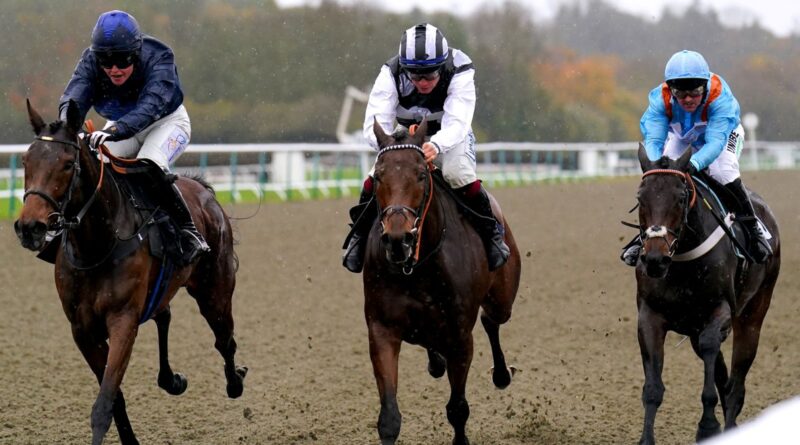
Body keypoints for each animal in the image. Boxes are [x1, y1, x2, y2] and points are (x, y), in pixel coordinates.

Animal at [14, 100, 245, 444]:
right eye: (26, 160)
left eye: (68, 164)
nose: (30, 227)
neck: (98, 245)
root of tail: (204, 191)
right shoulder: (82, 329)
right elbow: (114, 397)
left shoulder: (122, 319)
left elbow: (105, 401)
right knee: (165, 315)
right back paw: (171, 379)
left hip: (214, 290)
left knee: (224, 340)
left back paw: (235, 381)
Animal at [362, 118, 524, 444]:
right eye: (380, 175)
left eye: (421, 174)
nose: (398, 240)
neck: (416, 267)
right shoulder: (381, 328)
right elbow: (389, 418)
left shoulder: (460, 336)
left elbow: (458, 408)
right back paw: (436, 361)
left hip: (503, 296)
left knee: (491, 319)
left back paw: (501, 374)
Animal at [632, 144, 780, 442]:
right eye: (641, 198)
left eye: (680, 198)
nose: (654, 259)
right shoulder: (650, 316)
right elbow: (653, 389)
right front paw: (646, 439)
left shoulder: (719, 311)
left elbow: (712, 354)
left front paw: (708, 426)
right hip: (692, 327)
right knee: (725, 378)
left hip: (753, 314)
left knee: (736, 383)